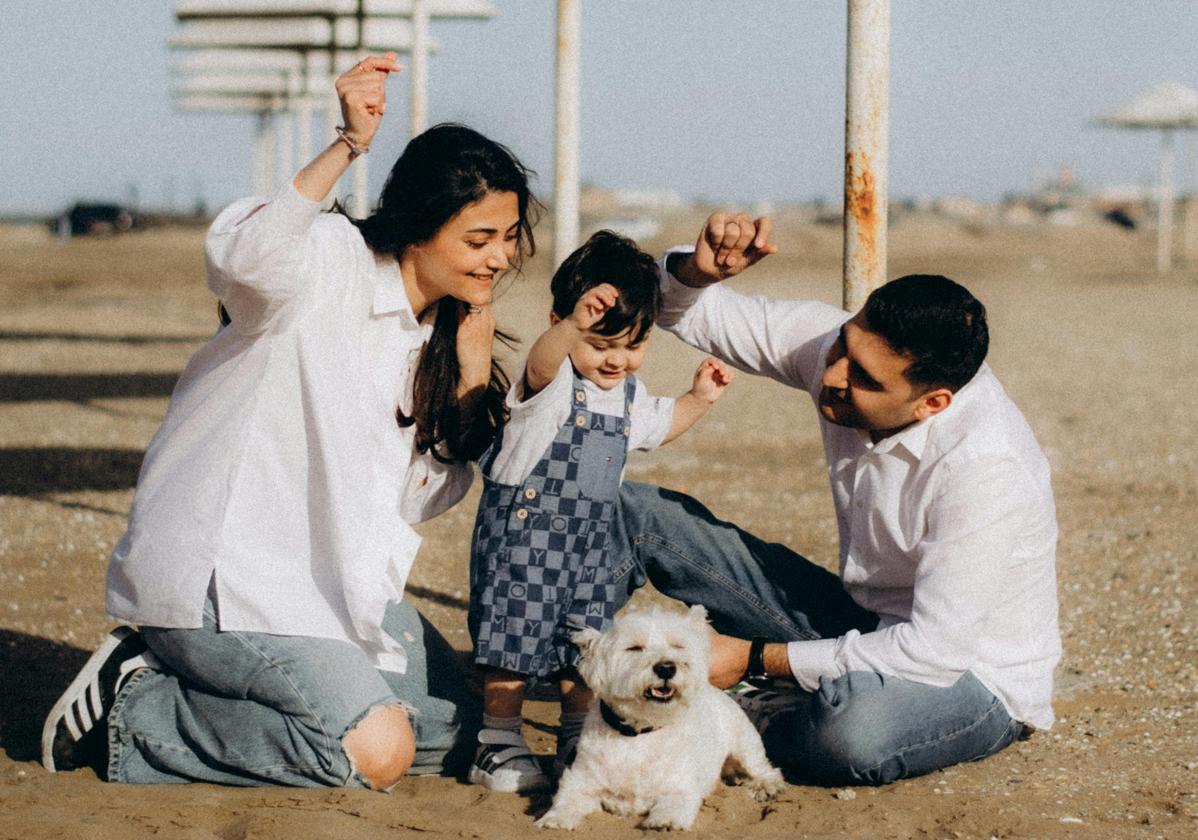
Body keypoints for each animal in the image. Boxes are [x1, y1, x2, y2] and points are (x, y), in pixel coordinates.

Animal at [534, 603, 785, 834]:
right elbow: (567, 799)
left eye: (677, 646)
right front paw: (553, 818)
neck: (638, 734)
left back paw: (768, 786)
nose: (666, 667)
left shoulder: (680, 785)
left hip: (744, 743)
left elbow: (675, 802)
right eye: (634, 648)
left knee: (762, 767)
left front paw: (665, 820)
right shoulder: (581, 781)